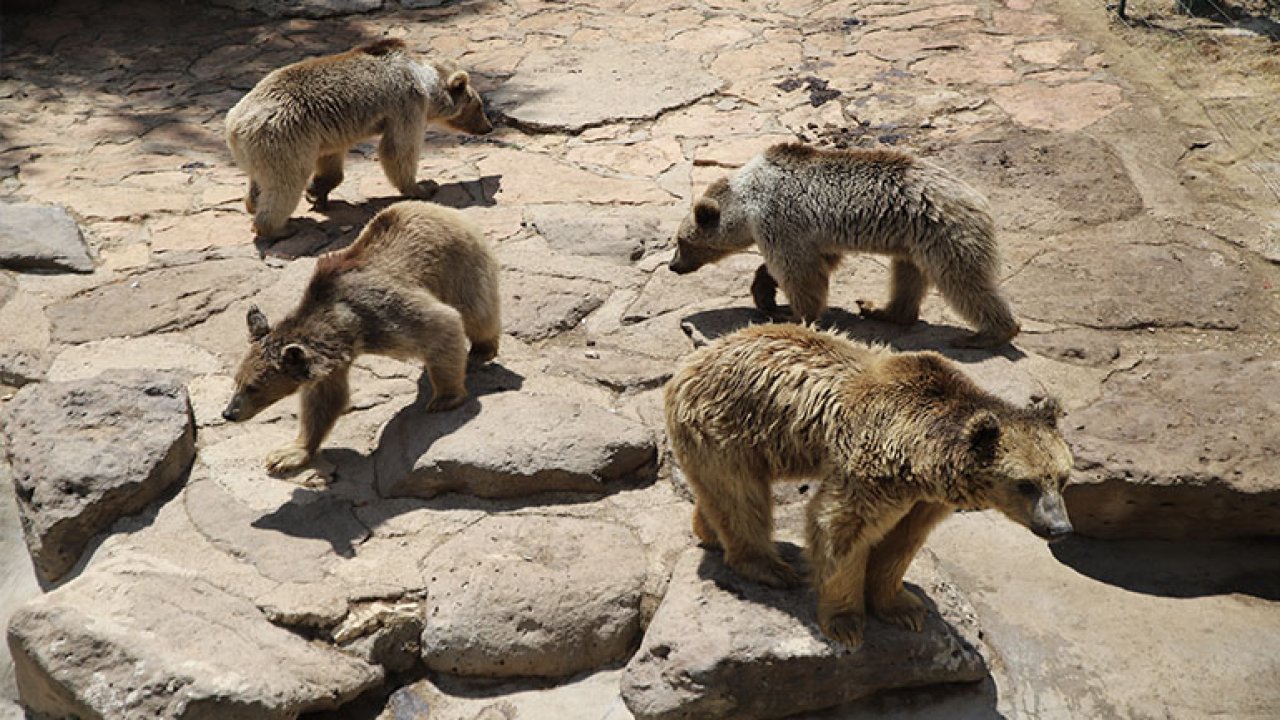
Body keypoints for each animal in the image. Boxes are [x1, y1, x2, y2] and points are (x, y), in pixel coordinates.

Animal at [220, 198, 499, 474]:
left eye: (254, 387)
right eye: (236, 380)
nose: (229, 413)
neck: (349, 328)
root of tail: (436, 207)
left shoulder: (383, 315)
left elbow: (442, 325)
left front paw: (444, 398)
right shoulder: (332, 363)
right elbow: (324, 402)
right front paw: (288, 454)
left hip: (458, 262)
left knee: (476, 311)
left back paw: (482, 348)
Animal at [227, 39, 491, 238]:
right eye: (478, 106)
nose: (488, 127)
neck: (424, 81)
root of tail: (233, 125)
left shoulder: (324, 131)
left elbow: (331, 161)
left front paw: (317, 191)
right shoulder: (407, 104)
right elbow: (398, 149)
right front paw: (424, 186)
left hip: (265, 147)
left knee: (262, 181)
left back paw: (253, 203)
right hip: (284, 136)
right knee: (285, 183)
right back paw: (279, 228)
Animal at [665, 322, 1075, 648]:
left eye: (1063, 479)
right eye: (1026, 484)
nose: (1059, 528)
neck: (922, 453)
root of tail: (690, 363)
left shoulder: (924, 497)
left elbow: (902, 541)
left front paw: (904, 607)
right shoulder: (875, 467)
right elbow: (841, 527)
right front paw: (846, 623)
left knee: (721, 494)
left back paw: (708, 529)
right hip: (725, 426)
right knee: (741, 496)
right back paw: (770, 567)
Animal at [670, 141, 1018, 345]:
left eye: (682, 242)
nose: (673, 266)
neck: (745, 205)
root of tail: (978, 199)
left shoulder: (780, 218)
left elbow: (801, 273)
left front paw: (794, 315)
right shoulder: (810, 235)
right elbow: (815, 262)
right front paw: (765, 295)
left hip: (944, 232)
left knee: (963, 282)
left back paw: (992, 333)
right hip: (913, 241)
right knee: (908, 276)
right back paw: (880, 309)